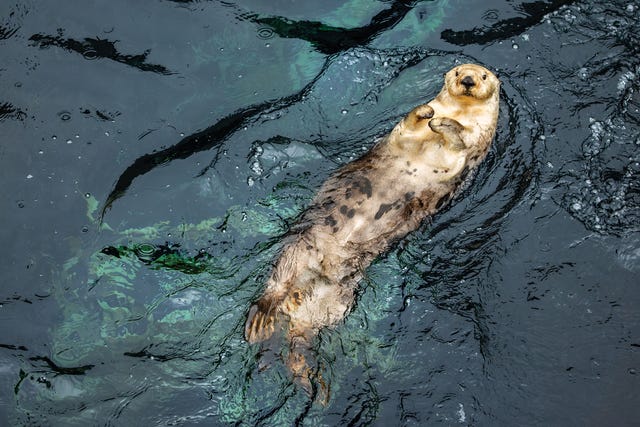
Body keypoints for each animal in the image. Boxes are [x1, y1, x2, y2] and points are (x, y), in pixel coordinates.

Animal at [245, 63, 500, 400]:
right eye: (459, 72)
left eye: (483, 76)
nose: (468, 80)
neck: (460, 112)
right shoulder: (404, 136)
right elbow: (409, 126)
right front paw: (428, 113)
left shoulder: (472, 147)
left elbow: (459, 144)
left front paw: (445, 124)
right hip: (299, 253)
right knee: (274, 288)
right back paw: (260, 322)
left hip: (336, 302)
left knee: (301, 332)